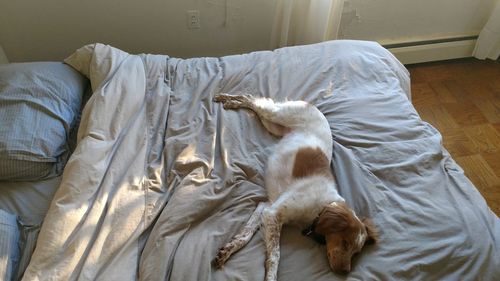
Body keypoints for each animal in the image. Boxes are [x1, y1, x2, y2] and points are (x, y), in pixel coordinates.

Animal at [212, 94, 378, 280]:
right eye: (345, 243)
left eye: (356, 252)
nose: (345, 272)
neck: (321, 207)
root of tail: (311, 104)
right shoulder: (273, 213)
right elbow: (275, 255)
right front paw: (270, 276)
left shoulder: (266, 206)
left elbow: (246, 234)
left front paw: (228, 249)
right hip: (277, 115)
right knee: (251, 100)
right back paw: (228, 99)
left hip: (273, 125)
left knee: (254, 104)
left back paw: (232, 102)